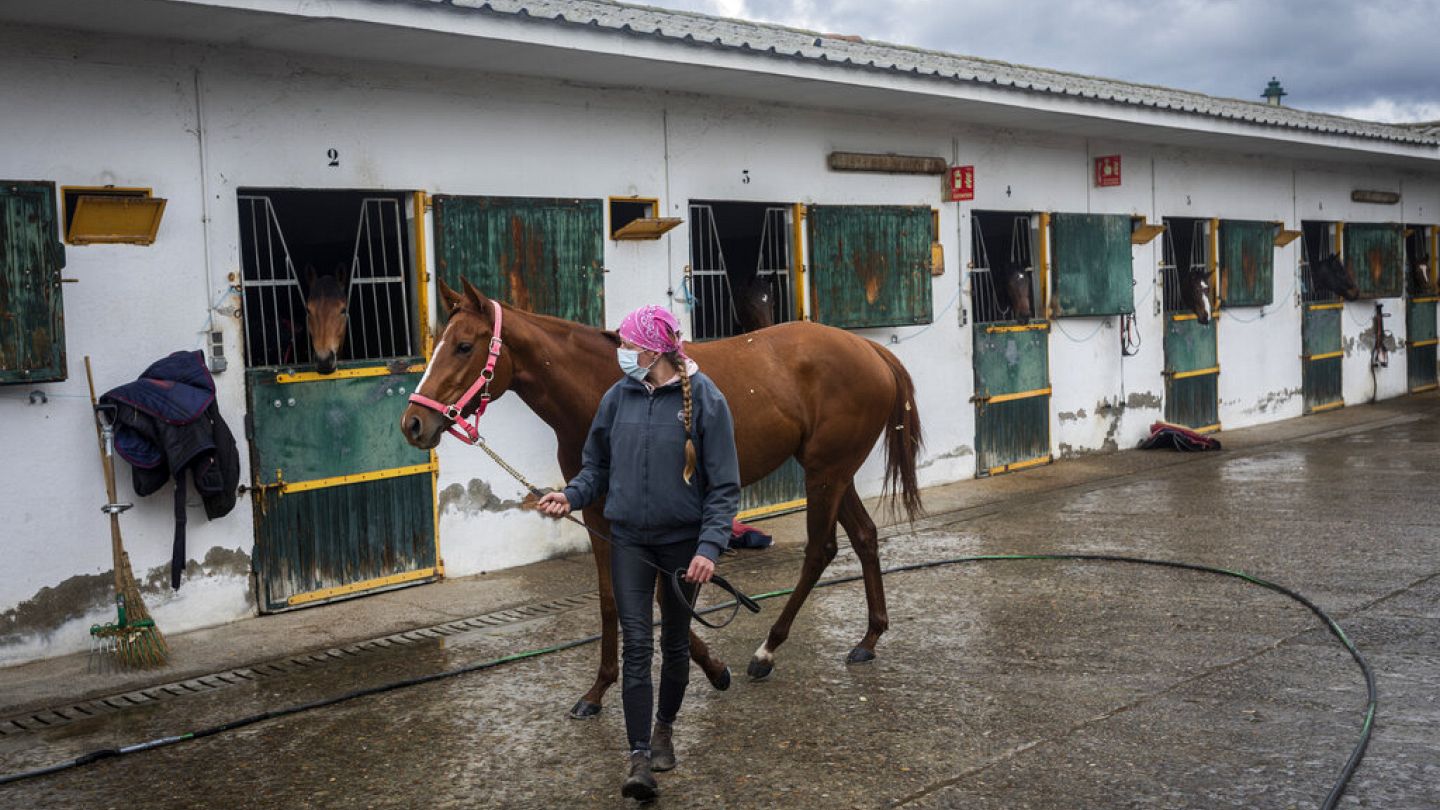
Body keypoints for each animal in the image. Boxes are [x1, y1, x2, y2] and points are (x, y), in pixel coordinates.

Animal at [403, 276, 921, 711]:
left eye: (463, 346)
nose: (414, 423)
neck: (604, 387)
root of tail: (869, 349)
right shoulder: (597, 511)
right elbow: (611, 597)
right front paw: (598, 690)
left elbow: (660, 593)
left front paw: (714, 669)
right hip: (835, 472)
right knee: (864, 536)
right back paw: (868, 640)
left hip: (825, 473)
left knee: (820, 549)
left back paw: (766, 652)